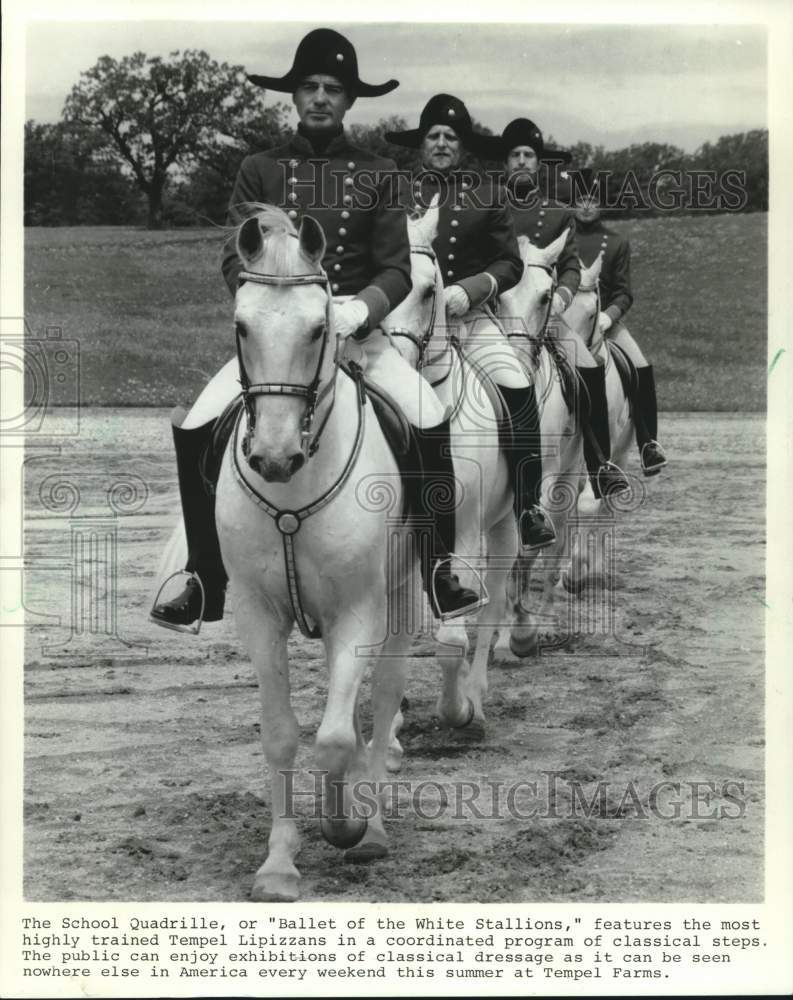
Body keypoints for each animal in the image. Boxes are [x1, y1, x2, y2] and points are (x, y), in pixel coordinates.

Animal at [210, 203, 420, 900]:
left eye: (320, 327)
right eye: (241, 326)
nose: (274, 459)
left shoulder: (358, 610)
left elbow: (332, 737)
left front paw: (345, 826)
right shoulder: (256, 613)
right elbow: (282, 735)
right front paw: (279, 862)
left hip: (401, 600)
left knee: (381, 701)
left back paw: (372, 822)